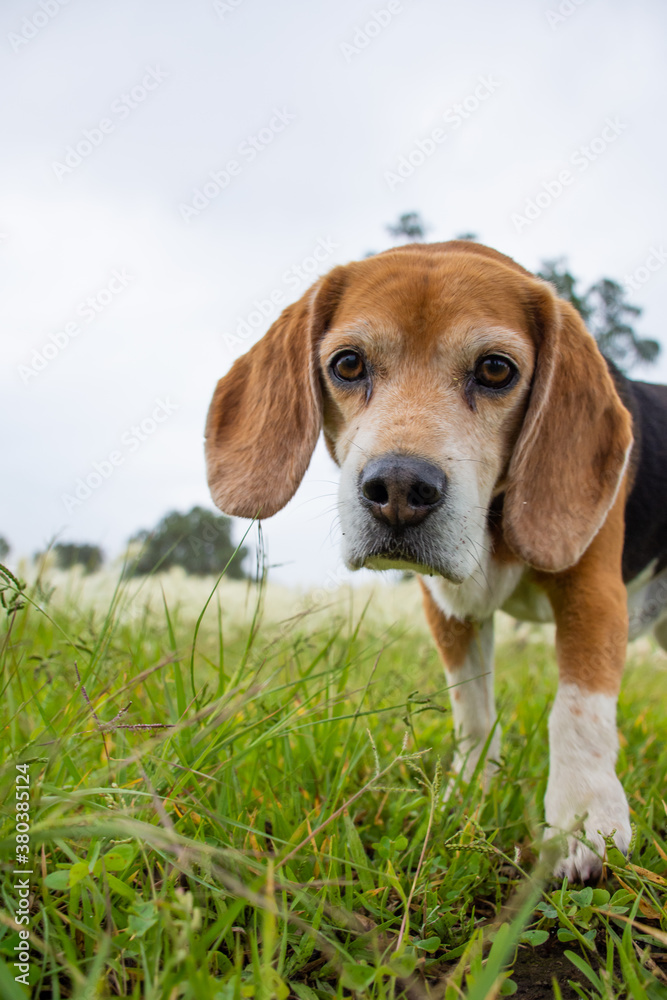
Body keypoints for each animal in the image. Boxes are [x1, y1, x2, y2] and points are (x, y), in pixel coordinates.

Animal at [204, 244, 667, 884]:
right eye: (348, 364)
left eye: (495, 370)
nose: (399, 488)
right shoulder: (449, 609)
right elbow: (472, 710)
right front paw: (469, 794)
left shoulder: (592, 590)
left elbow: (576, 712)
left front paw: (583, 824)